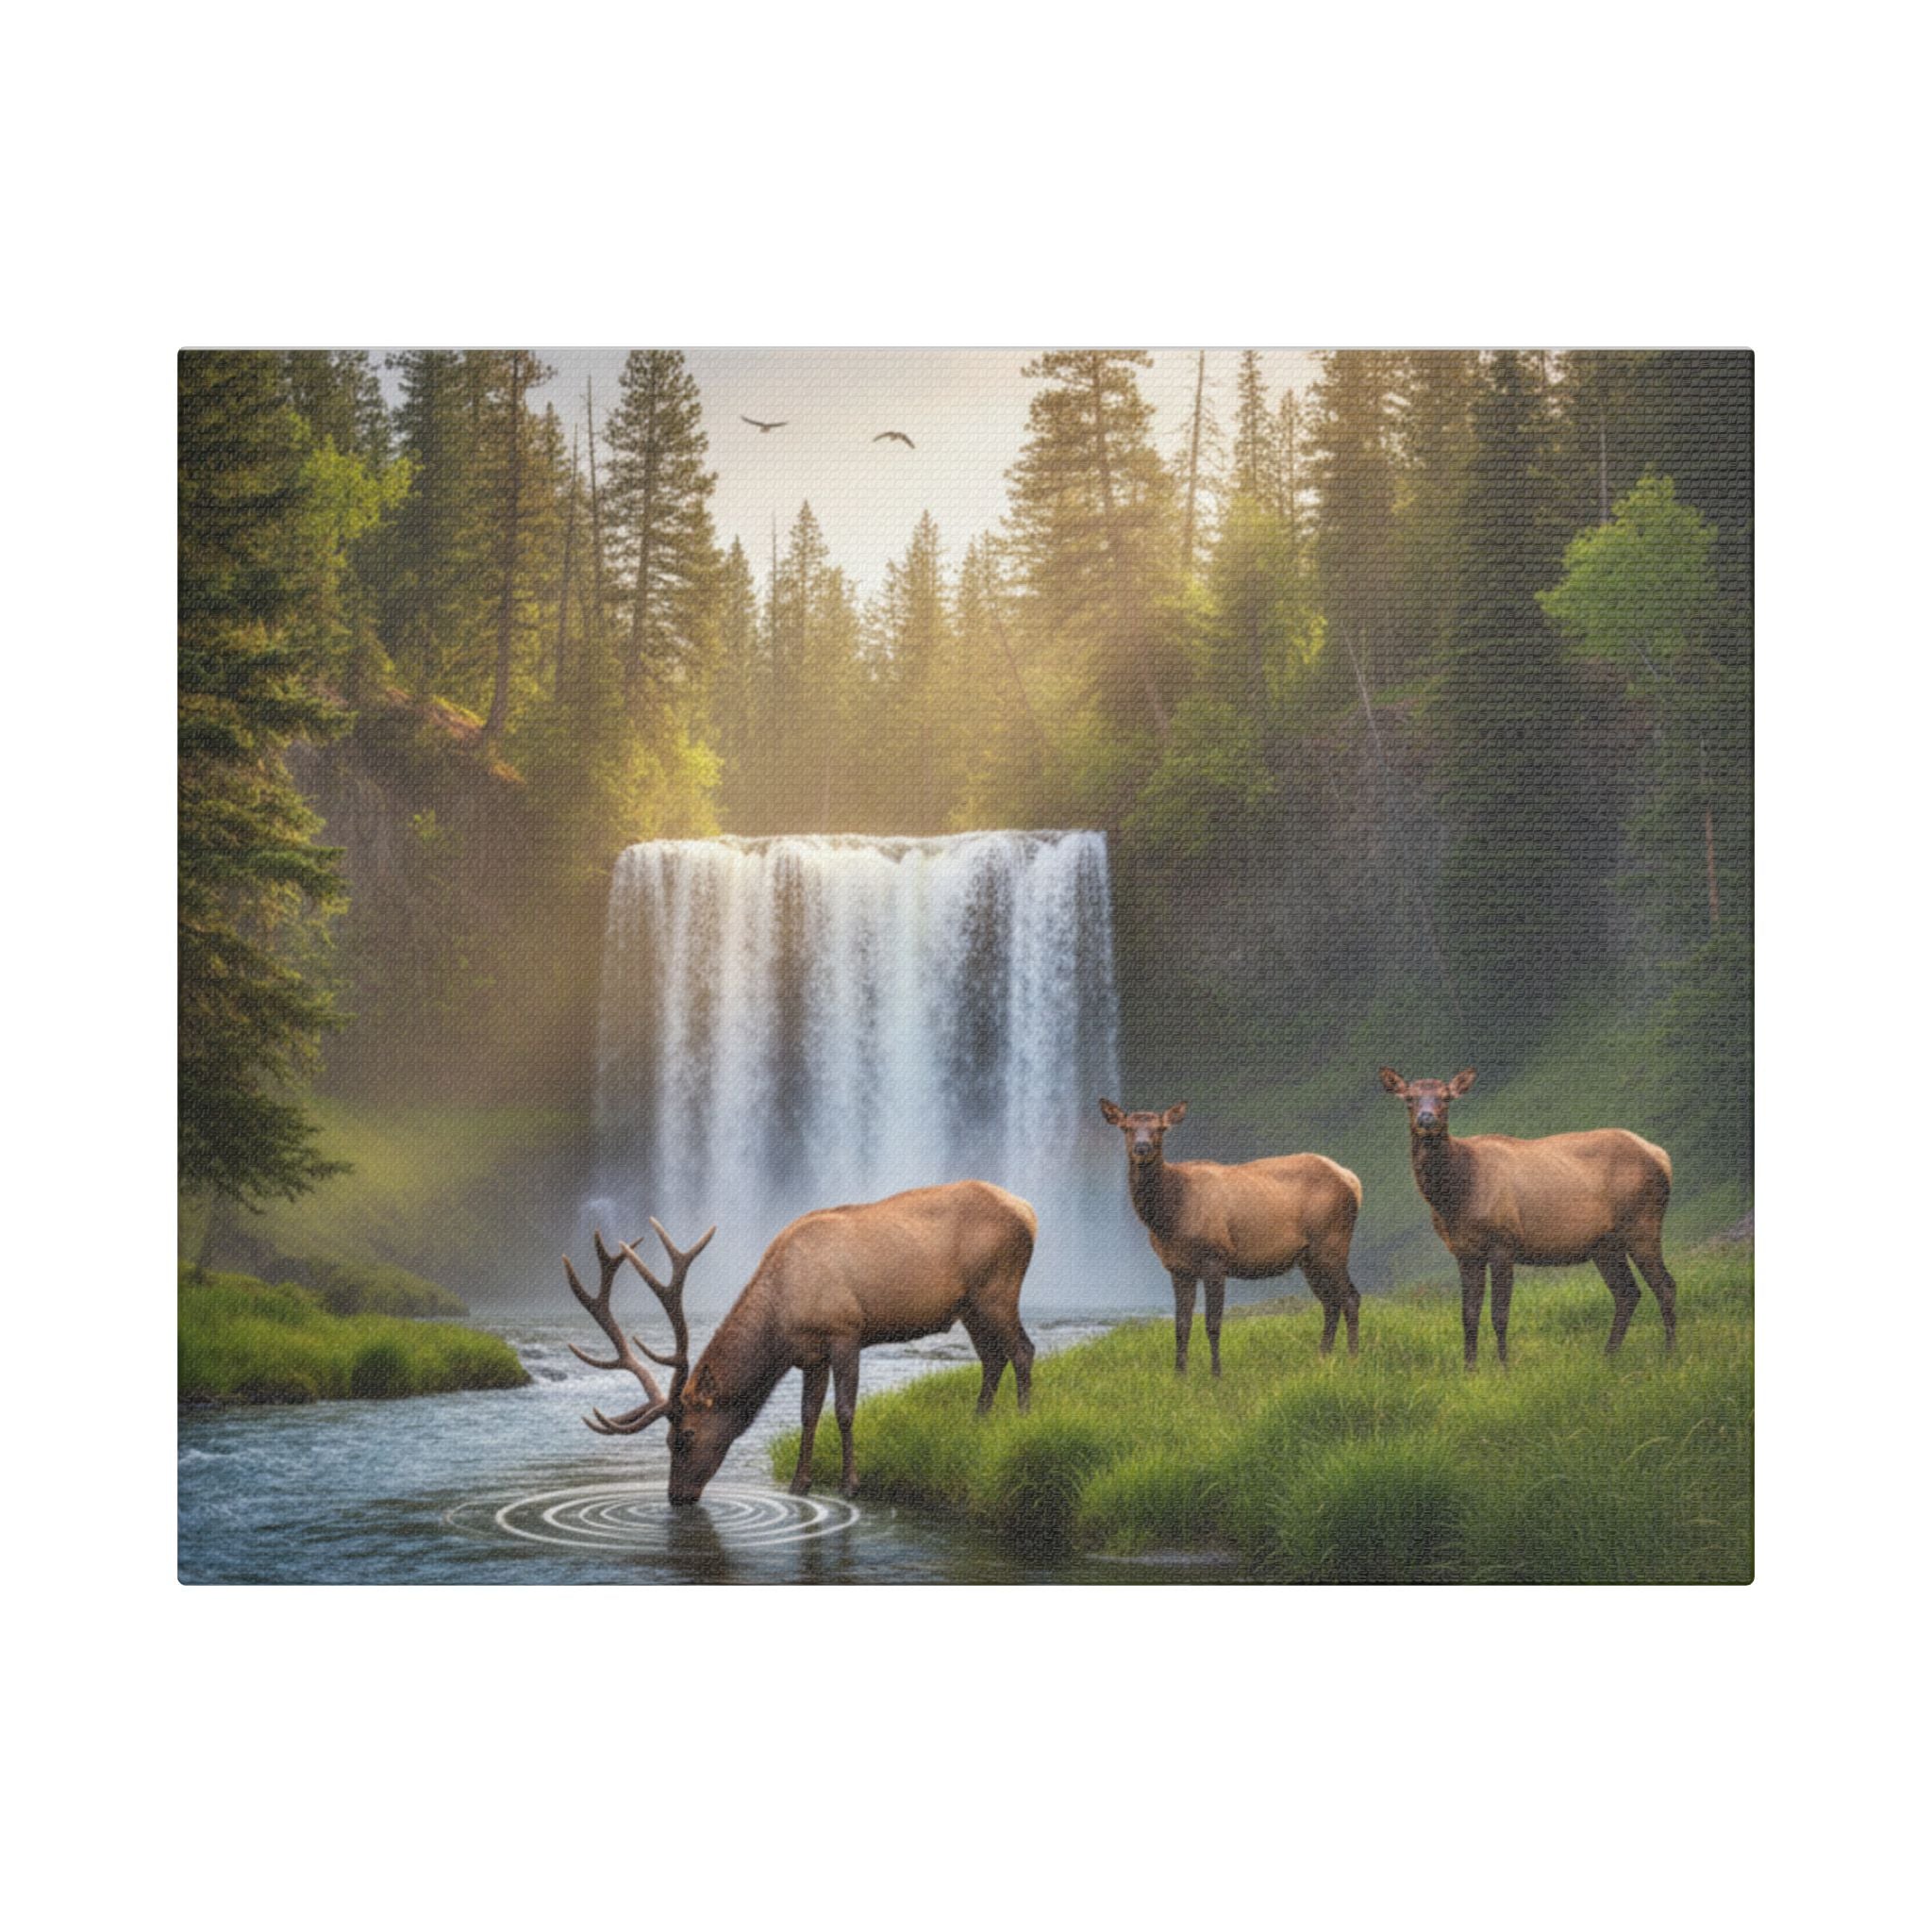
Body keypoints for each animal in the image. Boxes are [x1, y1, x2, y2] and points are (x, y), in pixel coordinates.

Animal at [563, 1180, 1038, 1504]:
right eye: (666, 1441)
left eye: (686, 1436)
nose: (677, 1497)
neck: (782, 1317)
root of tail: (1029, 1210)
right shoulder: (811, 1355)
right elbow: (808, 1414)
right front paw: (798, 1484)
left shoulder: (846, 1330)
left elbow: (844, 1410)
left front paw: (850, 1484)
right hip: (971, 1306)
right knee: (991, 1357)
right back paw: (978, 1423)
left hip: (997, 1290)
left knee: (1022, 1350)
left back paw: (1022, 1419)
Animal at [1099, 1099, 1363, 1373]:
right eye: (1126, 1128)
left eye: (1161, 1128)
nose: (1142, 1147)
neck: (1169, 1218)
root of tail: (1352, 1180)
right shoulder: (1178, 1267)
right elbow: (1181, 1325)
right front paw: (1180, 1375)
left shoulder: (1215, 1258)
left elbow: (1213, 1323)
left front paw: (1216, 1373)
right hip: (1309, 1257)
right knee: (1330, 1302)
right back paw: (1322, 1358)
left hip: (1332, 1242)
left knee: (1351, 1297)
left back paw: (1353, 1359)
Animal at [1378, 1067, 1678, 1367]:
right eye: (1409, 1098)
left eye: (1446, 1097)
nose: (1426, 1118)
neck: (1456, 1198)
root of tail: (1661, 1156)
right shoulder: (1464, 1251)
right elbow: (1468, 1315)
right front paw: (1469, 1369)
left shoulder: (1503, 1241)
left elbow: (1499, 1314)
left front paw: (1504, 1366)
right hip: (1605, 1245)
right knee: (1628, 1292)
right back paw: (1608, 1356)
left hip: (1643, 1223)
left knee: (1665, 1285)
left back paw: (1669, 1354)